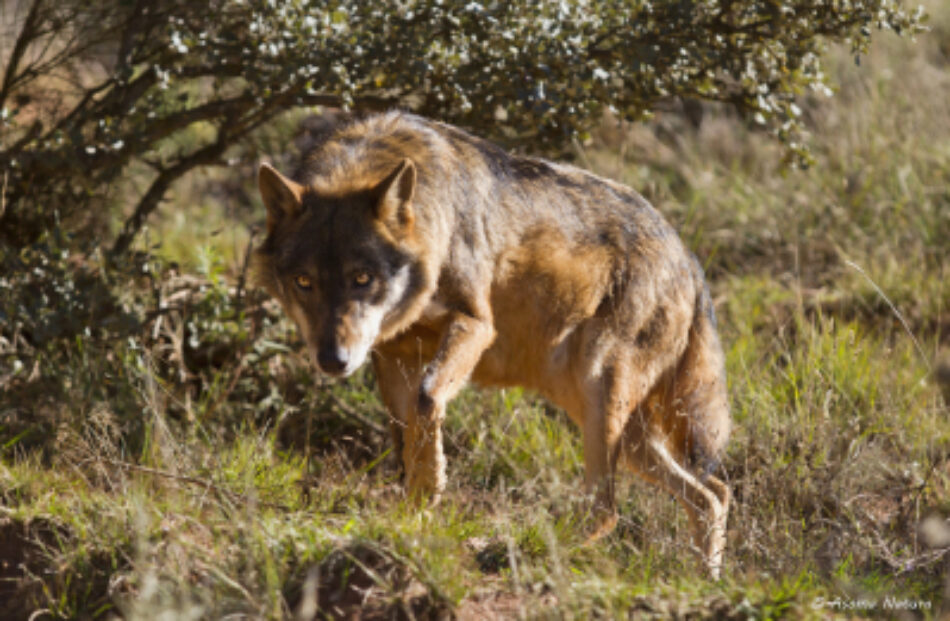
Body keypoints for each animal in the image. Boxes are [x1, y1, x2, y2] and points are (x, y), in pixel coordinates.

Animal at [249, 110, 732, 576]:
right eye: (304, 282)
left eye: (362, 279)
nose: (333, 360)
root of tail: (687, 256)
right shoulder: (391, 356)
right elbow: (405, 436)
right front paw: (412, 511)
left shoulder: (476, 325)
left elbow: (427, 400)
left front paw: (431, 485)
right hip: (621, 432)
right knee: (712, 493)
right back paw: (705, 578)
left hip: (600, 395)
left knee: (609, 510)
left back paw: (526, 552)